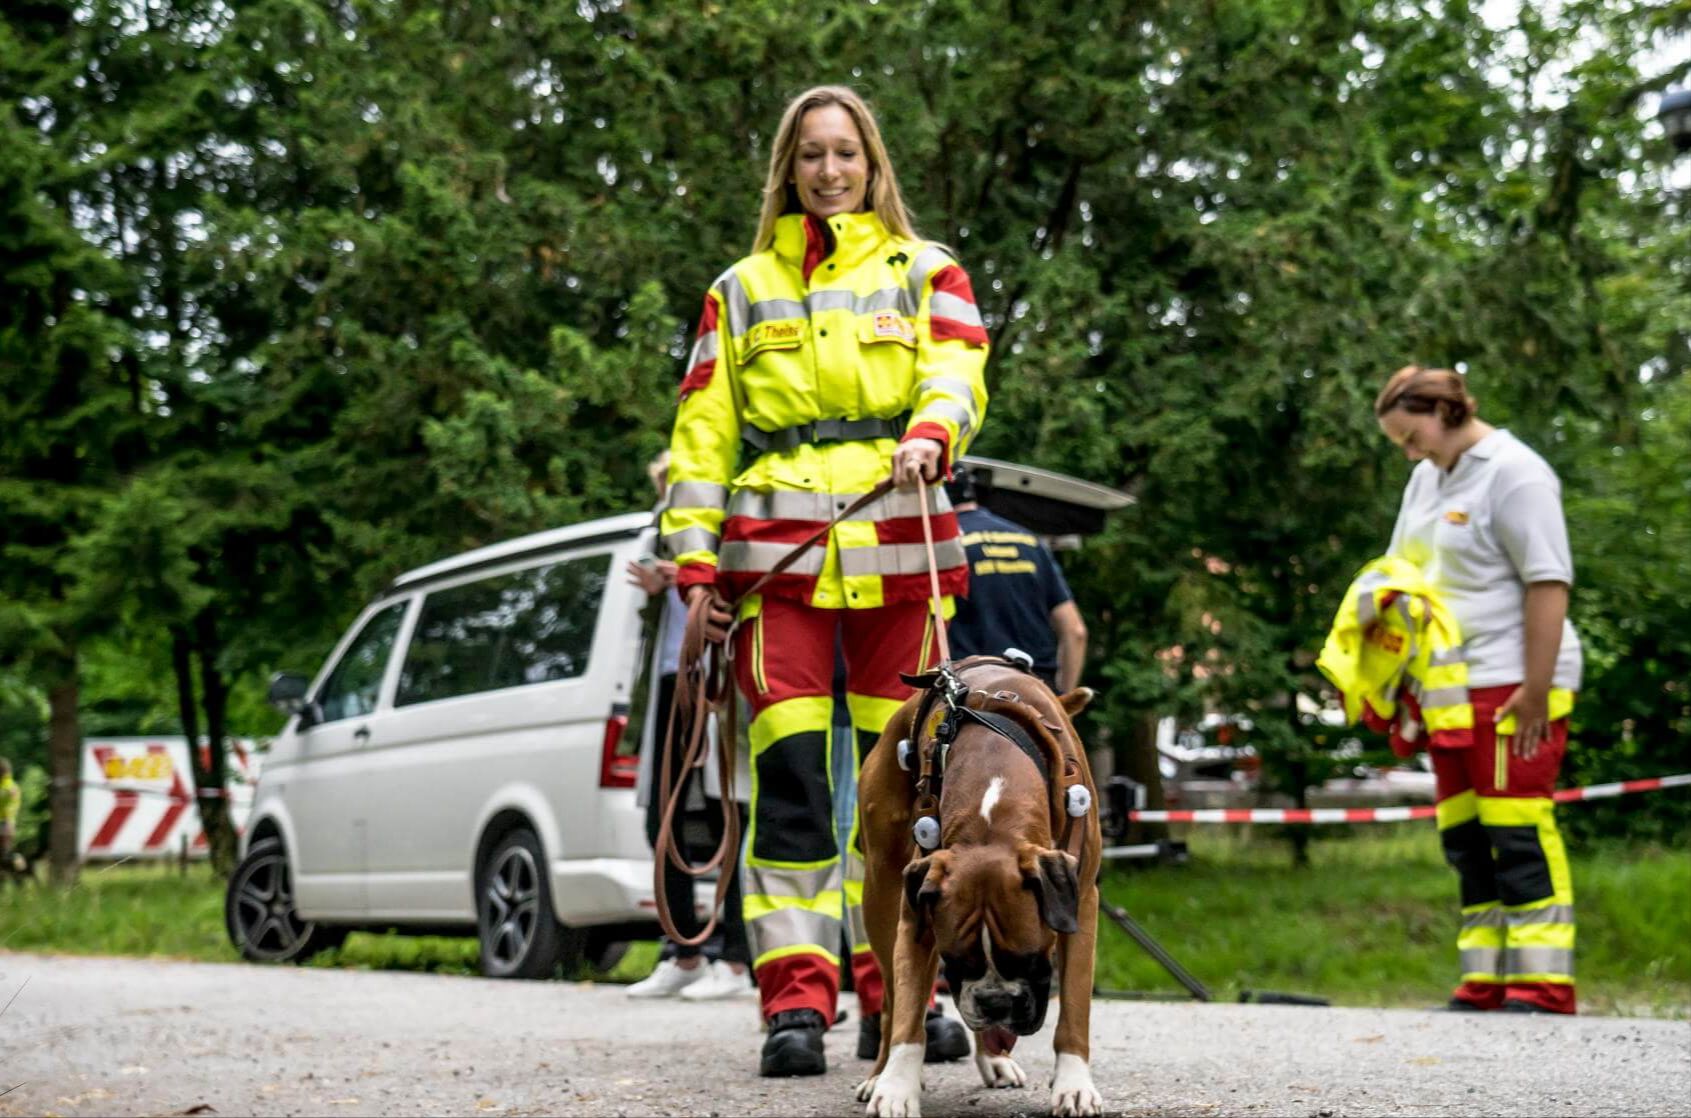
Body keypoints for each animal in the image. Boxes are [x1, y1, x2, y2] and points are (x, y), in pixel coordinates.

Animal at [852, 659, 1102, 1116]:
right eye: (956, 962)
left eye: (1031, 959)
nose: (995, 1002)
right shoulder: (915, 917)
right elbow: (908, 1012)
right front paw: (895, 1087)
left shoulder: (1082, 902)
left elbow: (1075, 1006)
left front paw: (1073, 1084)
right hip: (880, 897)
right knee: (891, 998)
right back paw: (880, 1073)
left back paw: (995, 1059)